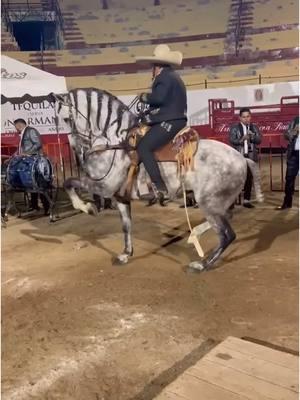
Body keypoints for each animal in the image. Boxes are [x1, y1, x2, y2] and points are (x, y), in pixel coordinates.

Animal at [54, 88, 262, 272]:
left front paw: (88, 208)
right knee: (227, 219)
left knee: (227, 235)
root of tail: (242, 158)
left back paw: (201, 264)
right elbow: (126, 226)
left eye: (66, 119)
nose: (78, 152)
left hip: (208, 202)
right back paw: (194, 236)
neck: (115, 143)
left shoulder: (103, 186)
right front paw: (126, 254)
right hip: (218, 203)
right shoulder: (120, 197)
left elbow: (69, 182)